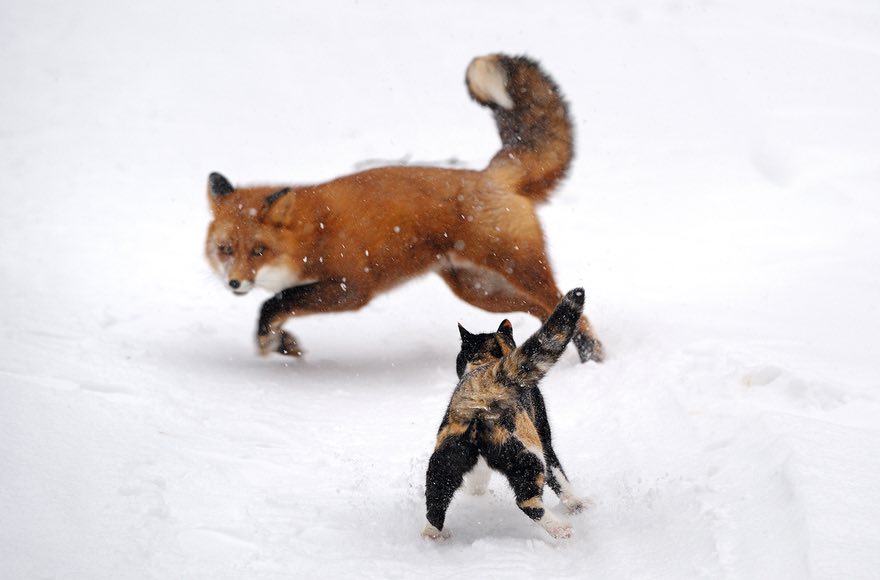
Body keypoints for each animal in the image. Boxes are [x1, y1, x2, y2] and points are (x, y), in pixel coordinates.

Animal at [205, 53, 600, 362]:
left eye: (258, 251)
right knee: (542, 312)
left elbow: (276, 302)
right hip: (481, 292)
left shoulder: (351, 287)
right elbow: (276, 310)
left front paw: (271, 340)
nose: (234, 282)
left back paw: (592, 357)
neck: (310, 233)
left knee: (567, 308)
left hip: (518, 270)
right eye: (225, 250)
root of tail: (490, 176)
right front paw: (281, 343)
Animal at [422, 288, 588, 540]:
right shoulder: (545, 439)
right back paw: (561, 529)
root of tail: (481, 391)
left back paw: (432, 534)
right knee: (527, 501)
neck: (487, 363)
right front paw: (578, 504)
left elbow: (478, 479)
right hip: (528, 455)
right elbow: (560, 477)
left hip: (444, 461)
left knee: (435, 503)